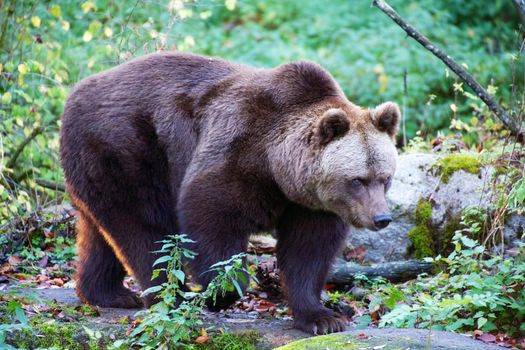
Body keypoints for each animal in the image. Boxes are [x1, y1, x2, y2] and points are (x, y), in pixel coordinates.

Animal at [59, 51, 398, 334]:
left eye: (385, 178)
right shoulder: (238, 149)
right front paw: (219, 291)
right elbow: (211, 216)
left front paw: (322, 317)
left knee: (100, 233)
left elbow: (308, 251)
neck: (278, 169)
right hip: (126, 151)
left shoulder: (312, 205)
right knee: (143, 231)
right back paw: (171, 297)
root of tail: (75, 91)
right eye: (358, 180)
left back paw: (108, 293)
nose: (381, 218)